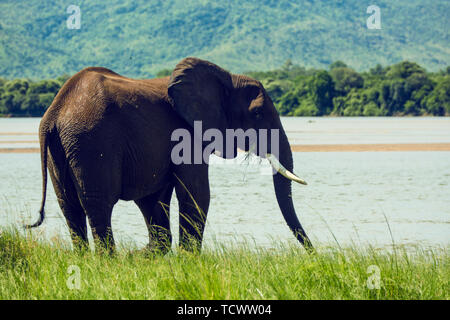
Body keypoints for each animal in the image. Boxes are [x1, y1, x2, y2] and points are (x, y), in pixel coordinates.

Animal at [25, 57, 312, 252]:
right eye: (257, 114)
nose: (313, 253)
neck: (227, 77)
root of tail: (54, 112)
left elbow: (154, 200)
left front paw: (145, 255)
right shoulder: (187, 134)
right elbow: (197, 193)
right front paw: (187, 261)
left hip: (61, 150)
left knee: (70, 207)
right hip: (92, 143)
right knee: (98, 205)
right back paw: (108, 261)